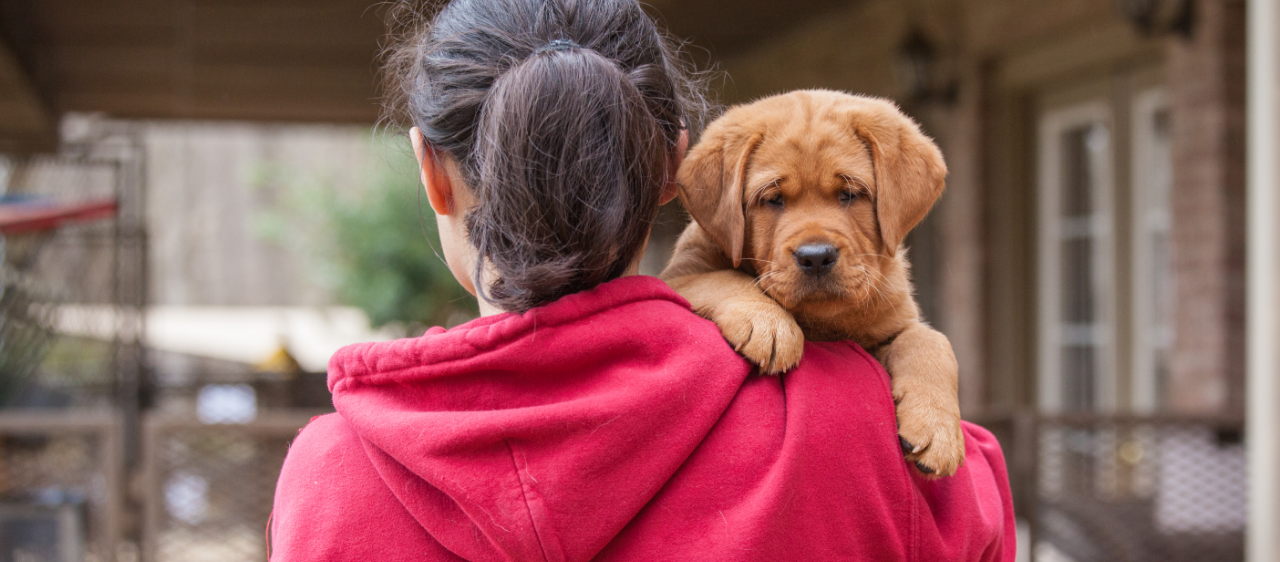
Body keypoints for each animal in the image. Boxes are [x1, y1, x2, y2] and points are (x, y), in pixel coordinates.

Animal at [660, 90, 962, 476]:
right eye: (773, 199)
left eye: (849, 194)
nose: (815, 257)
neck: (822, 319)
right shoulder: (681, 273)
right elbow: (723, 277)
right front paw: (768, 324)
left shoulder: (894, 320)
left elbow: (931, 341)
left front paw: (938, 428)